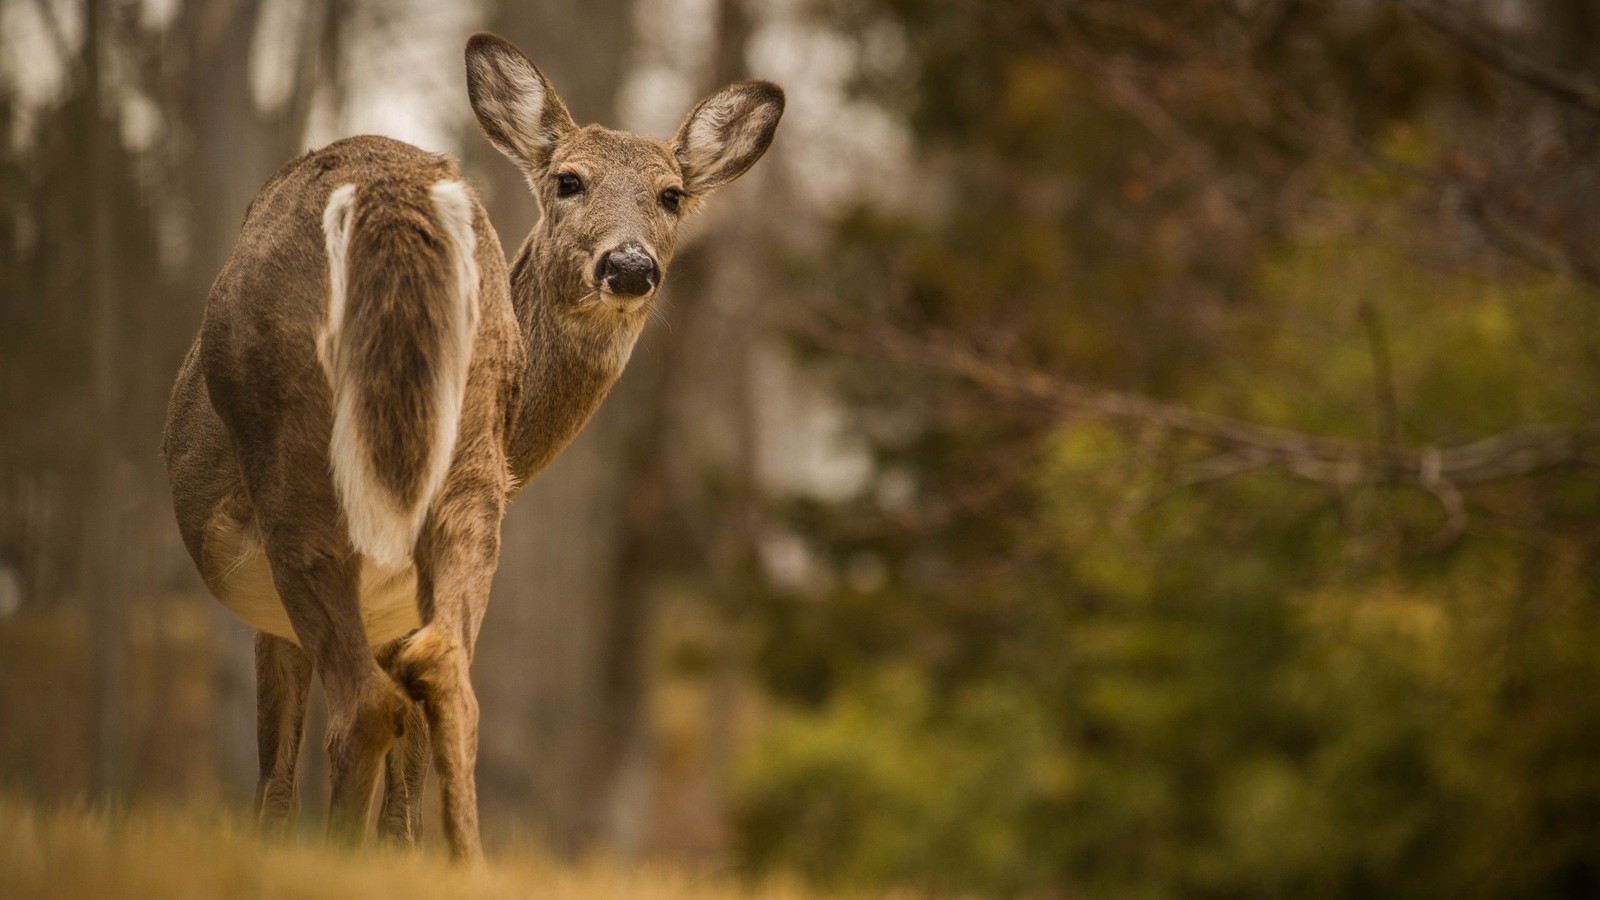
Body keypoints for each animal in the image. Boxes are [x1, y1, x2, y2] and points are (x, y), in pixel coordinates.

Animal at [159, 33, 784, 864]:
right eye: (568, 180)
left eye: (672, 194)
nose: (628, 266)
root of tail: (393, 199)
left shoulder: (275, 604)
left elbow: (278, 777)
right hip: (467, 453)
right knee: (444, 673)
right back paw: (466, 863)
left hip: (294, 450)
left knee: (363, 708)